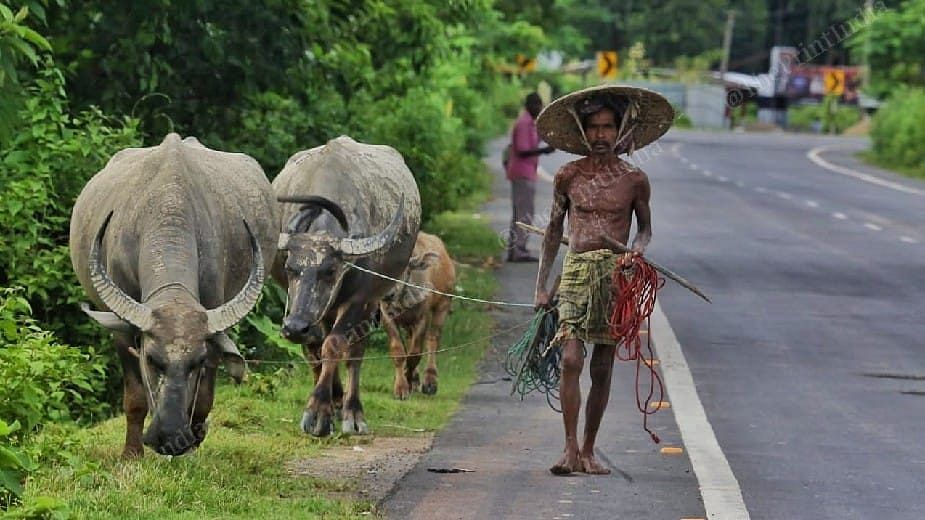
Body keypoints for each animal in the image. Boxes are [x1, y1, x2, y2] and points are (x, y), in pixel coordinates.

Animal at [70, 135, 276, 460]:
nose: (167, 436)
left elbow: (203, 398)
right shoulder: (123, 332)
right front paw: (131, 454)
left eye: (197, 362)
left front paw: (190, 446)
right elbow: (135, 397)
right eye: (151, 359)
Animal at [272, 136, 420, 436]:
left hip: (372, 302)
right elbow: (316, 347)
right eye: (290, 268)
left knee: (354, 352)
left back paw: (352, 411)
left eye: (330, 271)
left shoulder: (359, 301)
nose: (294, 327)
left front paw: (318, 412)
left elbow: (335, 346)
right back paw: (339, 400)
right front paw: (328, 404)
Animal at [378, 232, 454, 398]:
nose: (387, 294)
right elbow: (398, 351)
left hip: (443, 305)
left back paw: (430, 382)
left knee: (433, 340)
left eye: (404, 269)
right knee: (410, 339)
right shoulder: (386, 316)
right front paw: (401, 386)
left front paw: (409, 380)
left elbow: (415, 353)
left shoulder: (422, 318)